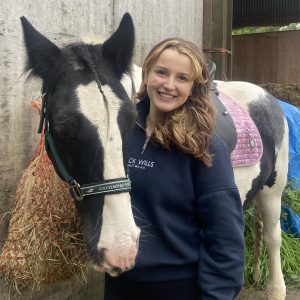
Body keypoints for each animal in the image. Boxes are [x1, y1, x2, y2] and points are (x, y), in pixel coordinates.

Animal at [19, 12, 288, 300]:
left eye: (129, 120)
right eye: (62, 128)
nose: (120, 247)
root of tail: (267, 97)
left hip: (273, 193)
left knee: (272, 237)